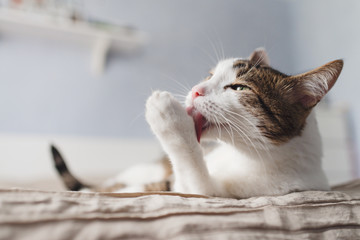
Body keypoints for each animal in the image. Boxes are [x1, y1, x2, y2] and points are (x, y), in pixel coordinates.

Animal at [51, 47, 344, 198]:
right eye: (210, 75)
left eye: (239, 88)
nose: (195, 90)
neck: (244, 155)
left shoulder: (206, 192)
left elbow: (190, 167)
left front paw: (166, 113)